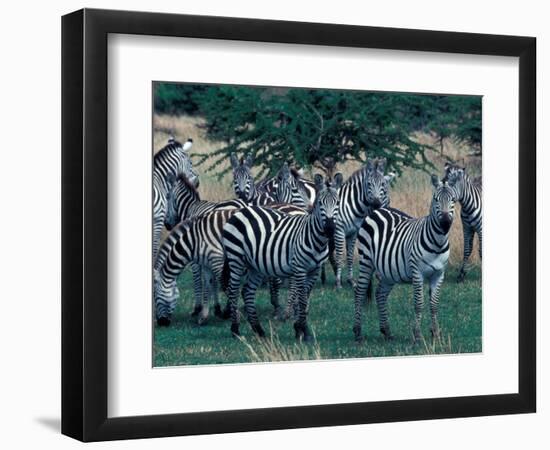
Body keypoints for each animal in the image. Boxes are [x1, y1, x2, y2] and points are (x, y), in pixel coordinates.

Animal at [153, 205, 306, 326]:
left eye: (156, 297)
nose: (161, 323)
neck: (194, 240)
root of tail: (300, 210)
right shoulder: (207, 264)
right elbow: (208, 286)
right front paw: (204, 316)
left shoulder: (217, 259)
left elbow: (225, 285)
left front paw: (232, 313)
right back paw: (295, 310)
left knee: (294, 284)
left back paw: (287, 313)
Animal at [222, 173, 342, 342]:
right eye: (320, 203)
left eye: (337, 203)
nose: (330, 228)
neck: (316, 240)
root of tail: (240, 212)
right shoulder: (299, 268)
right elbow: (302, 298)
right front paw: (304, 331)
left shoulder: (314, 271)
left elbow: (304, 297)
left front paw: (298, 328)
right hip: (236, 258)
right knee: (233, 290)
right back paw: (235, 330)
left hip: (254, 266)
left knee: (247, 291)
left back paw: (259, 330)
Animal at [332, 158, 396, 288]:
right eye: (369, 184)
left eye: (383, 185)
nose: (377, 204)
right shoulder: (339, 231)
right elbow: (340, 256)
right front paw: (338, 282)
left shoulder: (353, 232)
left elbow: (350, 256)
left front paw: (351, 280)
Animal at [354, 174, 458, 342]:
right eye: (436, 199)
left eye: (453, 199)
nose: (445, 223)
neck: (438, 243)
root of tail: (379, 209)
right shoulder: (417, 273)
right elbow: (419, 303)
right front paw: (418, 335)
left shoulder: (439, 274)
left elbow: (434, 304)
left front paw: (436, 334)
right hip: (366, 261)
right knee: (359, 292)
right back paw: (358, 333)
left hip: (388, 271)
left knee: (380, 294)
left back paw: (386, 331)